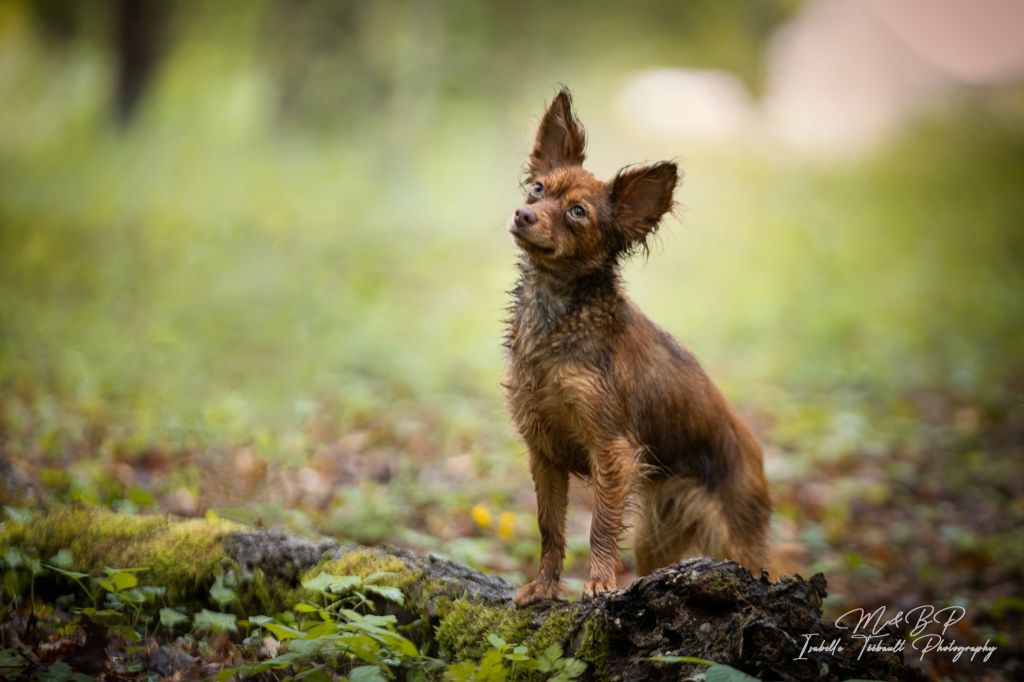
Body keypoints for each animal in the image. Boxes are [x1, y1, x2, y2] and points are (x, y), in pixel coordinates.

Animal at [503, 87, 770, 602]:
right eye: (538, 189)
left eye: (577, 212)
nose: (523, 214)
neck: (556, 314)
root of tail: (755, 452)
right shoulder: (544, 452)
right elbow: (550, 528)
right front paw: (543, 587)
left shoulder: (612, 452)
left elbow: (601, 526)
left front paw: (600, 583)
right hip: (657, 534)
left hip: (732, 535)